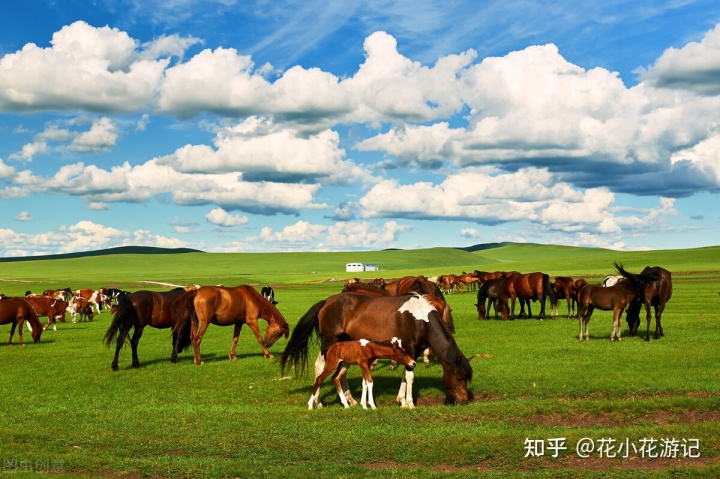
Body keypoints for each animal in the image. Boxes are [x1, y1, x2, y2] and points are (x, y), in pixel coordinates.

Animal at [280, 292, 472, 408]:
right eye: (459, 377)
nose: (464, 400)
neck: (420, 319)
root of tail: (326, 302)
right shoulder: (409, 348)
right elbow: (410, 377)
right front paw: (409, 403)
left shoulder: (411, 352)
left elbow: (405, 374)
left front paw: (401, 399)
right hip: (329, 343)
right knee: (320, 368)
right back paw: (317, 402)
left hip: (344, 344)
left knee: (341, 372)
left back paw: (351, 400)